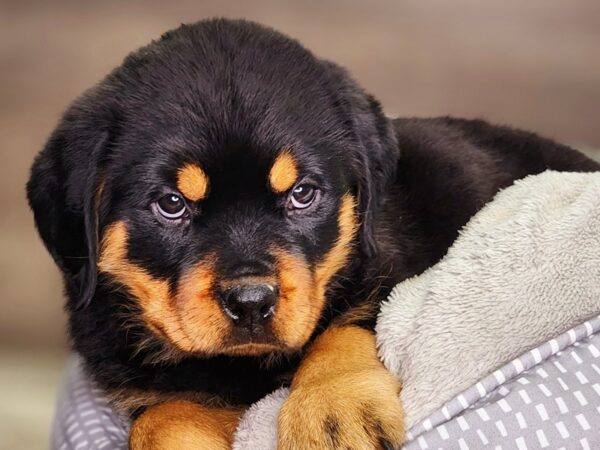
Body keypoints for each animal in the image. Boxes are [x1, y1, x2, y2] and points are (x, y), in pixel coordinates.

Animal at [25, 18, 596, 450]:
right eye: (171, 205)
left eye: (302, 194)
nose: (251, 302)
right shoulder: (147, 384)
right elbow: (159, 417)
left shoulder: (397, 276)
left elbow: (346, 327)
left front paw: (333, 412)